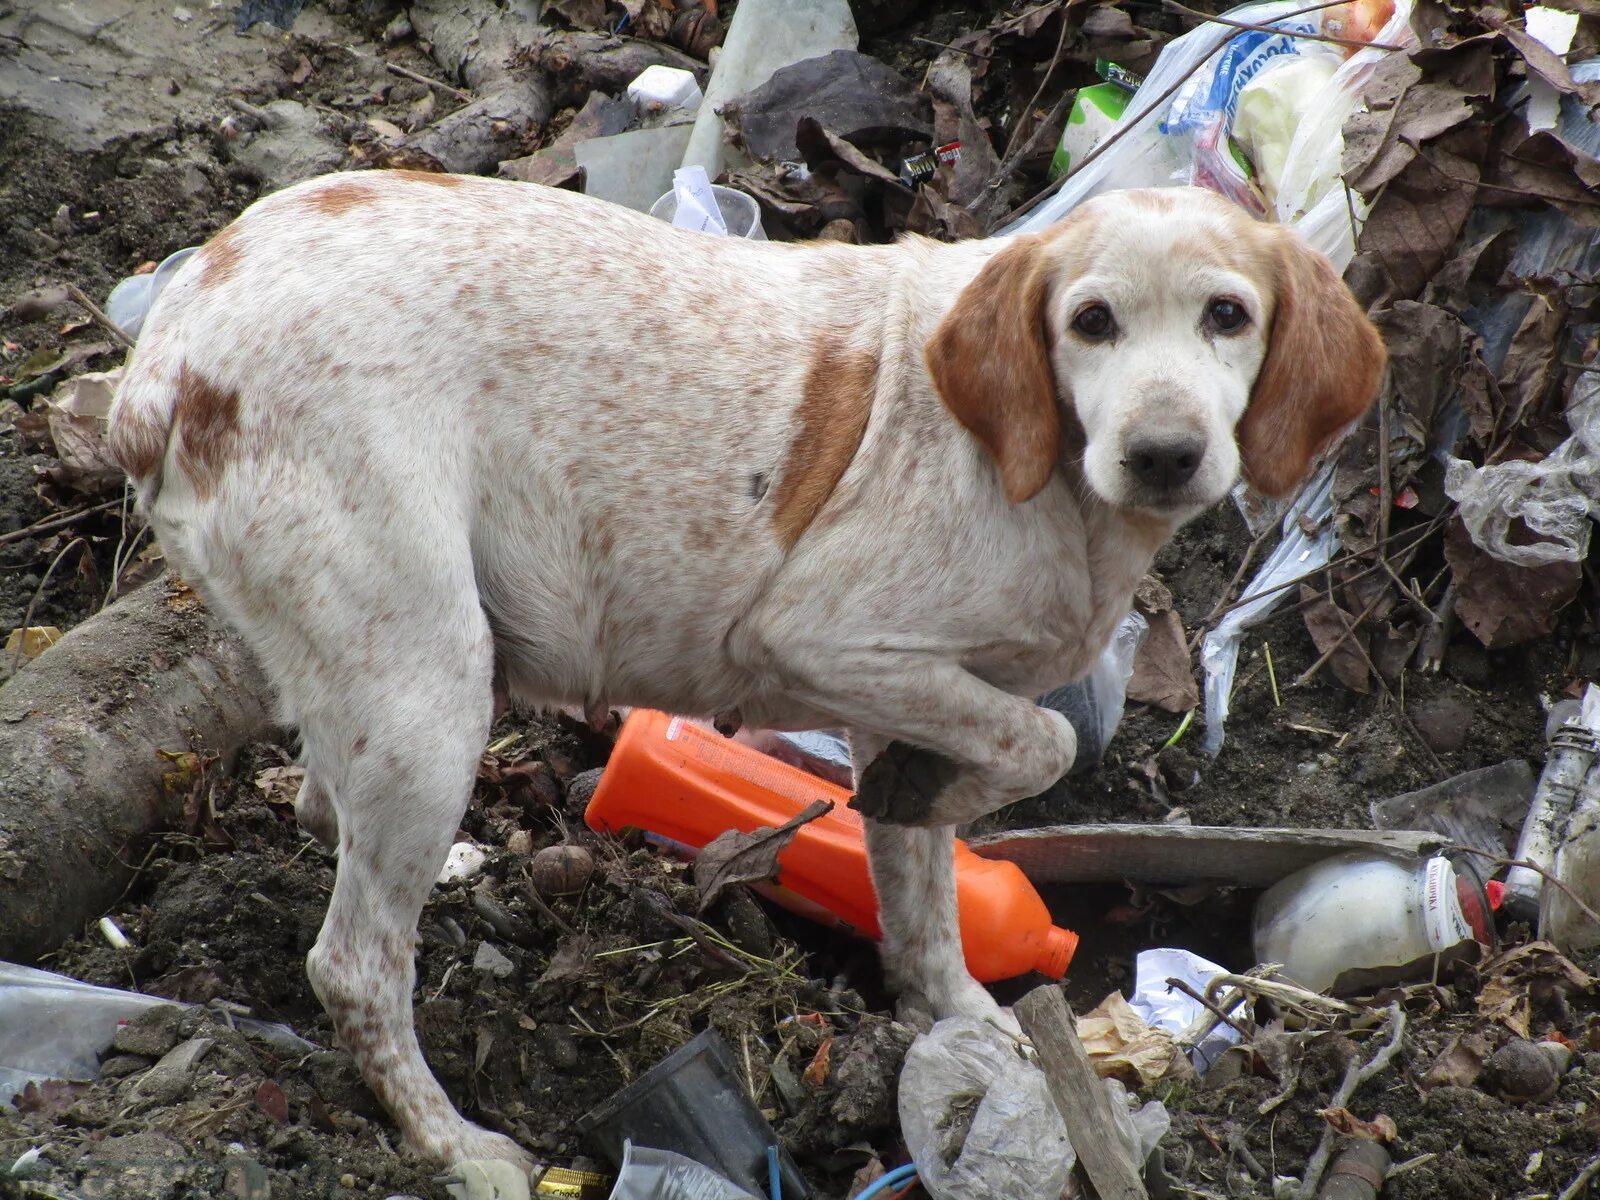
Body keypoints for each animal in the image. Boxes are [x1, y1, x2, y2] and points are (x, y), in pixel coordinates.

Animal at [112, 173, 1388, 1177]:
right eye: (1090, 322)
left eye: (1227, 315)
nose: (1164, 454)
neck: (1039, 469)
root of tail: (168, 355)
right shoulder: (825, 639)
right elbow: (1045, 744)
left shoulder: (906, 695)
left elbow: (923, 888)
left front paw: (960, 1016)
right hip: (431, 699)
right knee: (355, 967)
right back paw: (454, 1146)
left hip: (380, 681)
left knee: (324, 805)